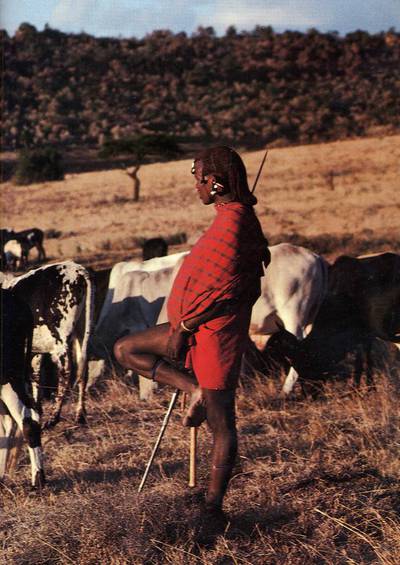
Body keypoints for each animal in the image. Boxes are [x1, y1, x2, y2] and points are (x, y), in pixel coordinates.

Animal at [1, 262, 94, 426]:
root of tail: (77, 269)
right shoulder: (34, 352)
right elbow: (35, 377)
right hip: (82, 334)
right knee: (83, 369)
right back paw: (80, 415)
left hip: (60, 341)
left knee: (66, 372)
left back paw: (54, 417)